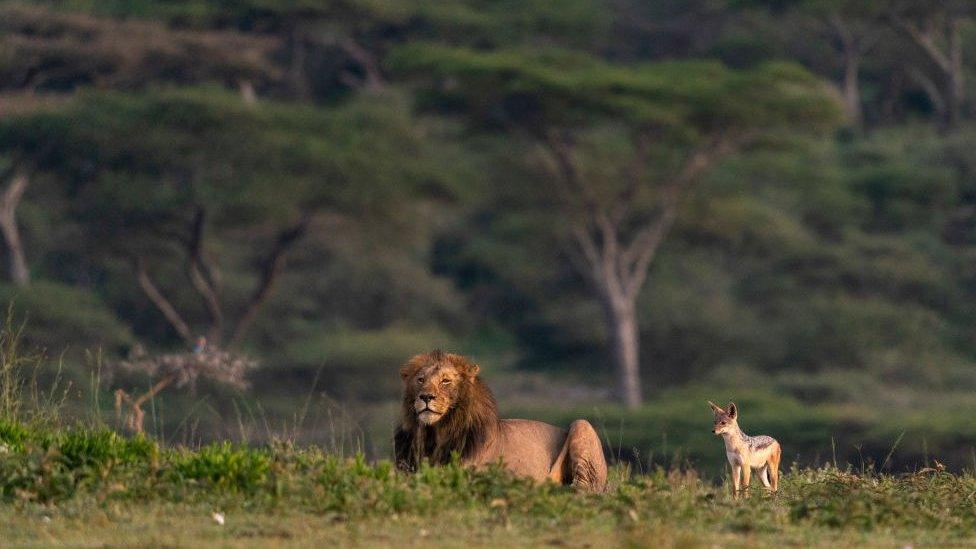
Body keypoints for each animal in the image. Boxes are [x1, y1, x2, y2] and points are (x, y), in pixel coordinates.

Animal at [392, 352, 608, 492]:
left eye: (445, 381)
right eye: (420, 380)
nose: (426, 397)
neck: (435, 433)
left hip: (582, 424)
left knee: (586, 487)